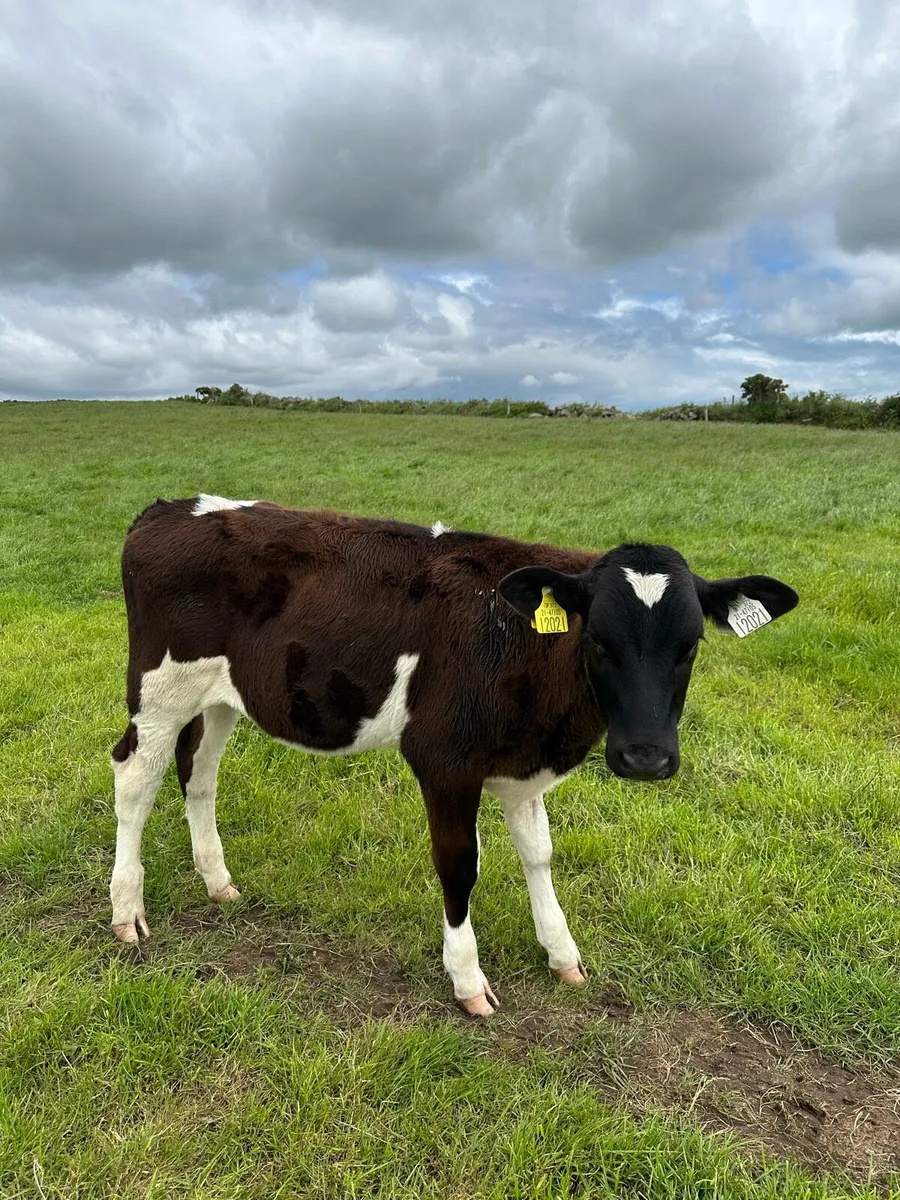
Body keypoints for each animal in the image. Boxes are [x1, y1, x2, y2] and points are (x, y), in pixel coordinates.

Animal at [110, 494, 798, 1015]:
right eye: (598, 639)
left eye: (691, 645)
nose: (646, 759)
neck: (516, 640)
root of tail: (169, 508)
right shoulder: (444, 761)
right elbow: (460, 865)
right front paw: (468, 979)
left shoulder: (524, 766)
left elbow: (539, 854)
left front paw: (562, 952)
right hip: (159, 689)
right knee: (135, 779)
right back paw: (127, 911)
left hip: (222, 695)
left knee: (198, 774)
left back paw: (217, 881)